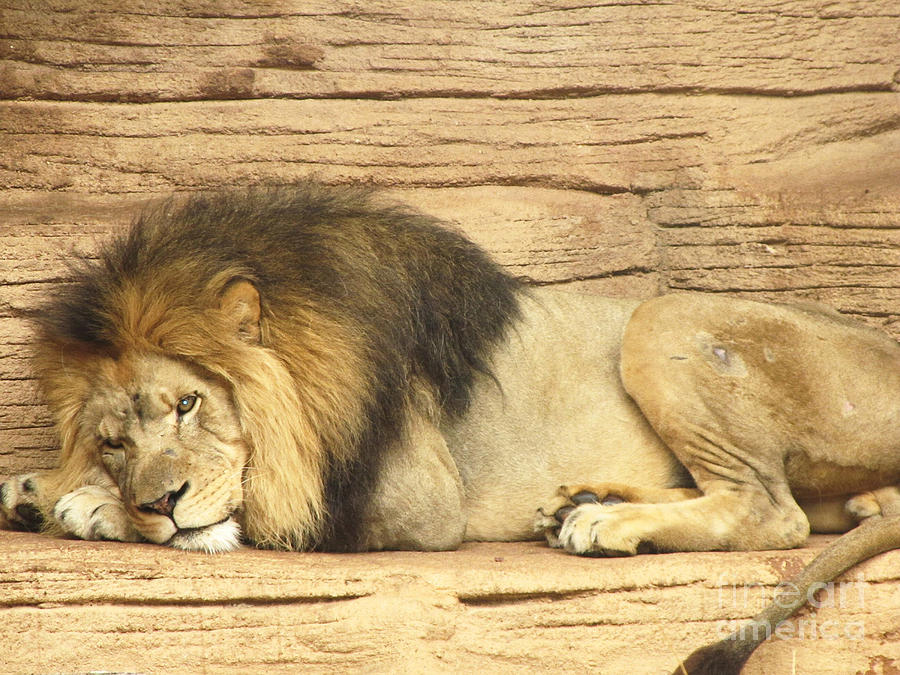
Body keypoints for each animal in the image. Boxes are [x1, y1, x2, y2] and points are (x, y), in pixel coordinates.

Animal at [1, 182, 900, 672]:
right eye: (115, 440)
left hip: (661, 314)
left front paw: (88, 506)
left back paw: (606, 522)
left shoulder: (413, 494)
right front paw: (44, 486)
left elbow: (262, 504)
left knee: (771, 510)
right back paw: (582, 500)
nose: (161, 499)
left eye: (188, 403)